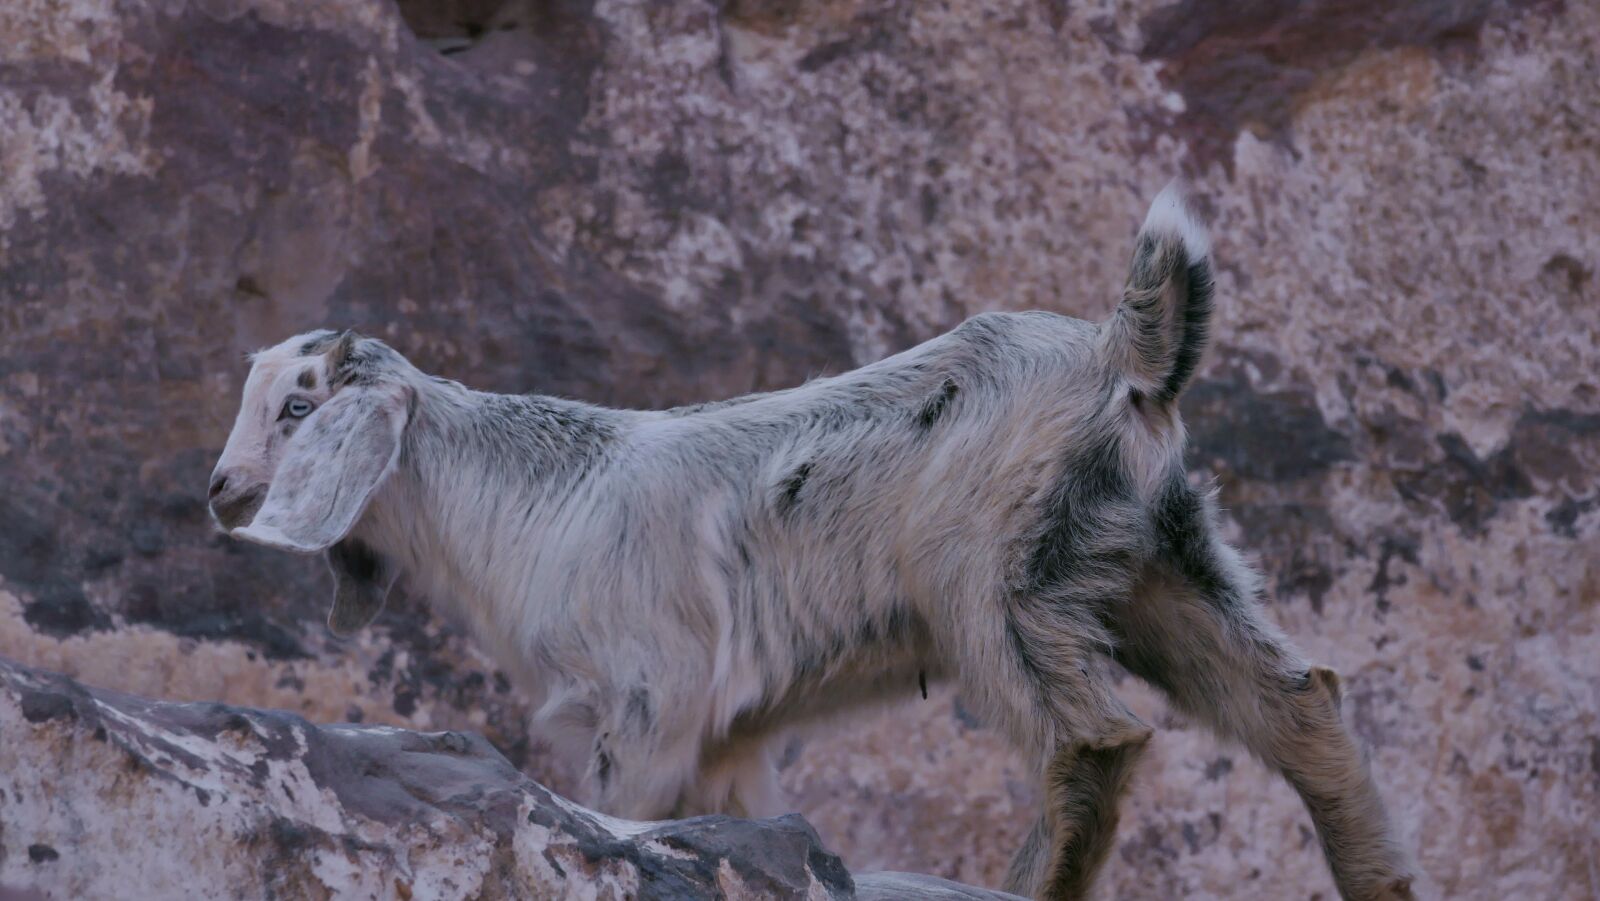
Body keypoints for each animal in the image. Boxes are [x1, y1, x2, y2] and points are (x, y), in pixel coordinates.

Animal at [209, 185, 1415, 900]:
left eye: (300, 407)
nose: (221, 492)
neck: (532, 499)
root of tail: (1127, 347)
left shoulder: (650, 697)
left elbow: (628, 812)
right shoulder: (727, 737)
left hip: (992, 573)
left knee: (1091, 740)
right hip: (1161, 557)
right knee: (1299, 701)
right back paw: (1379, 877)